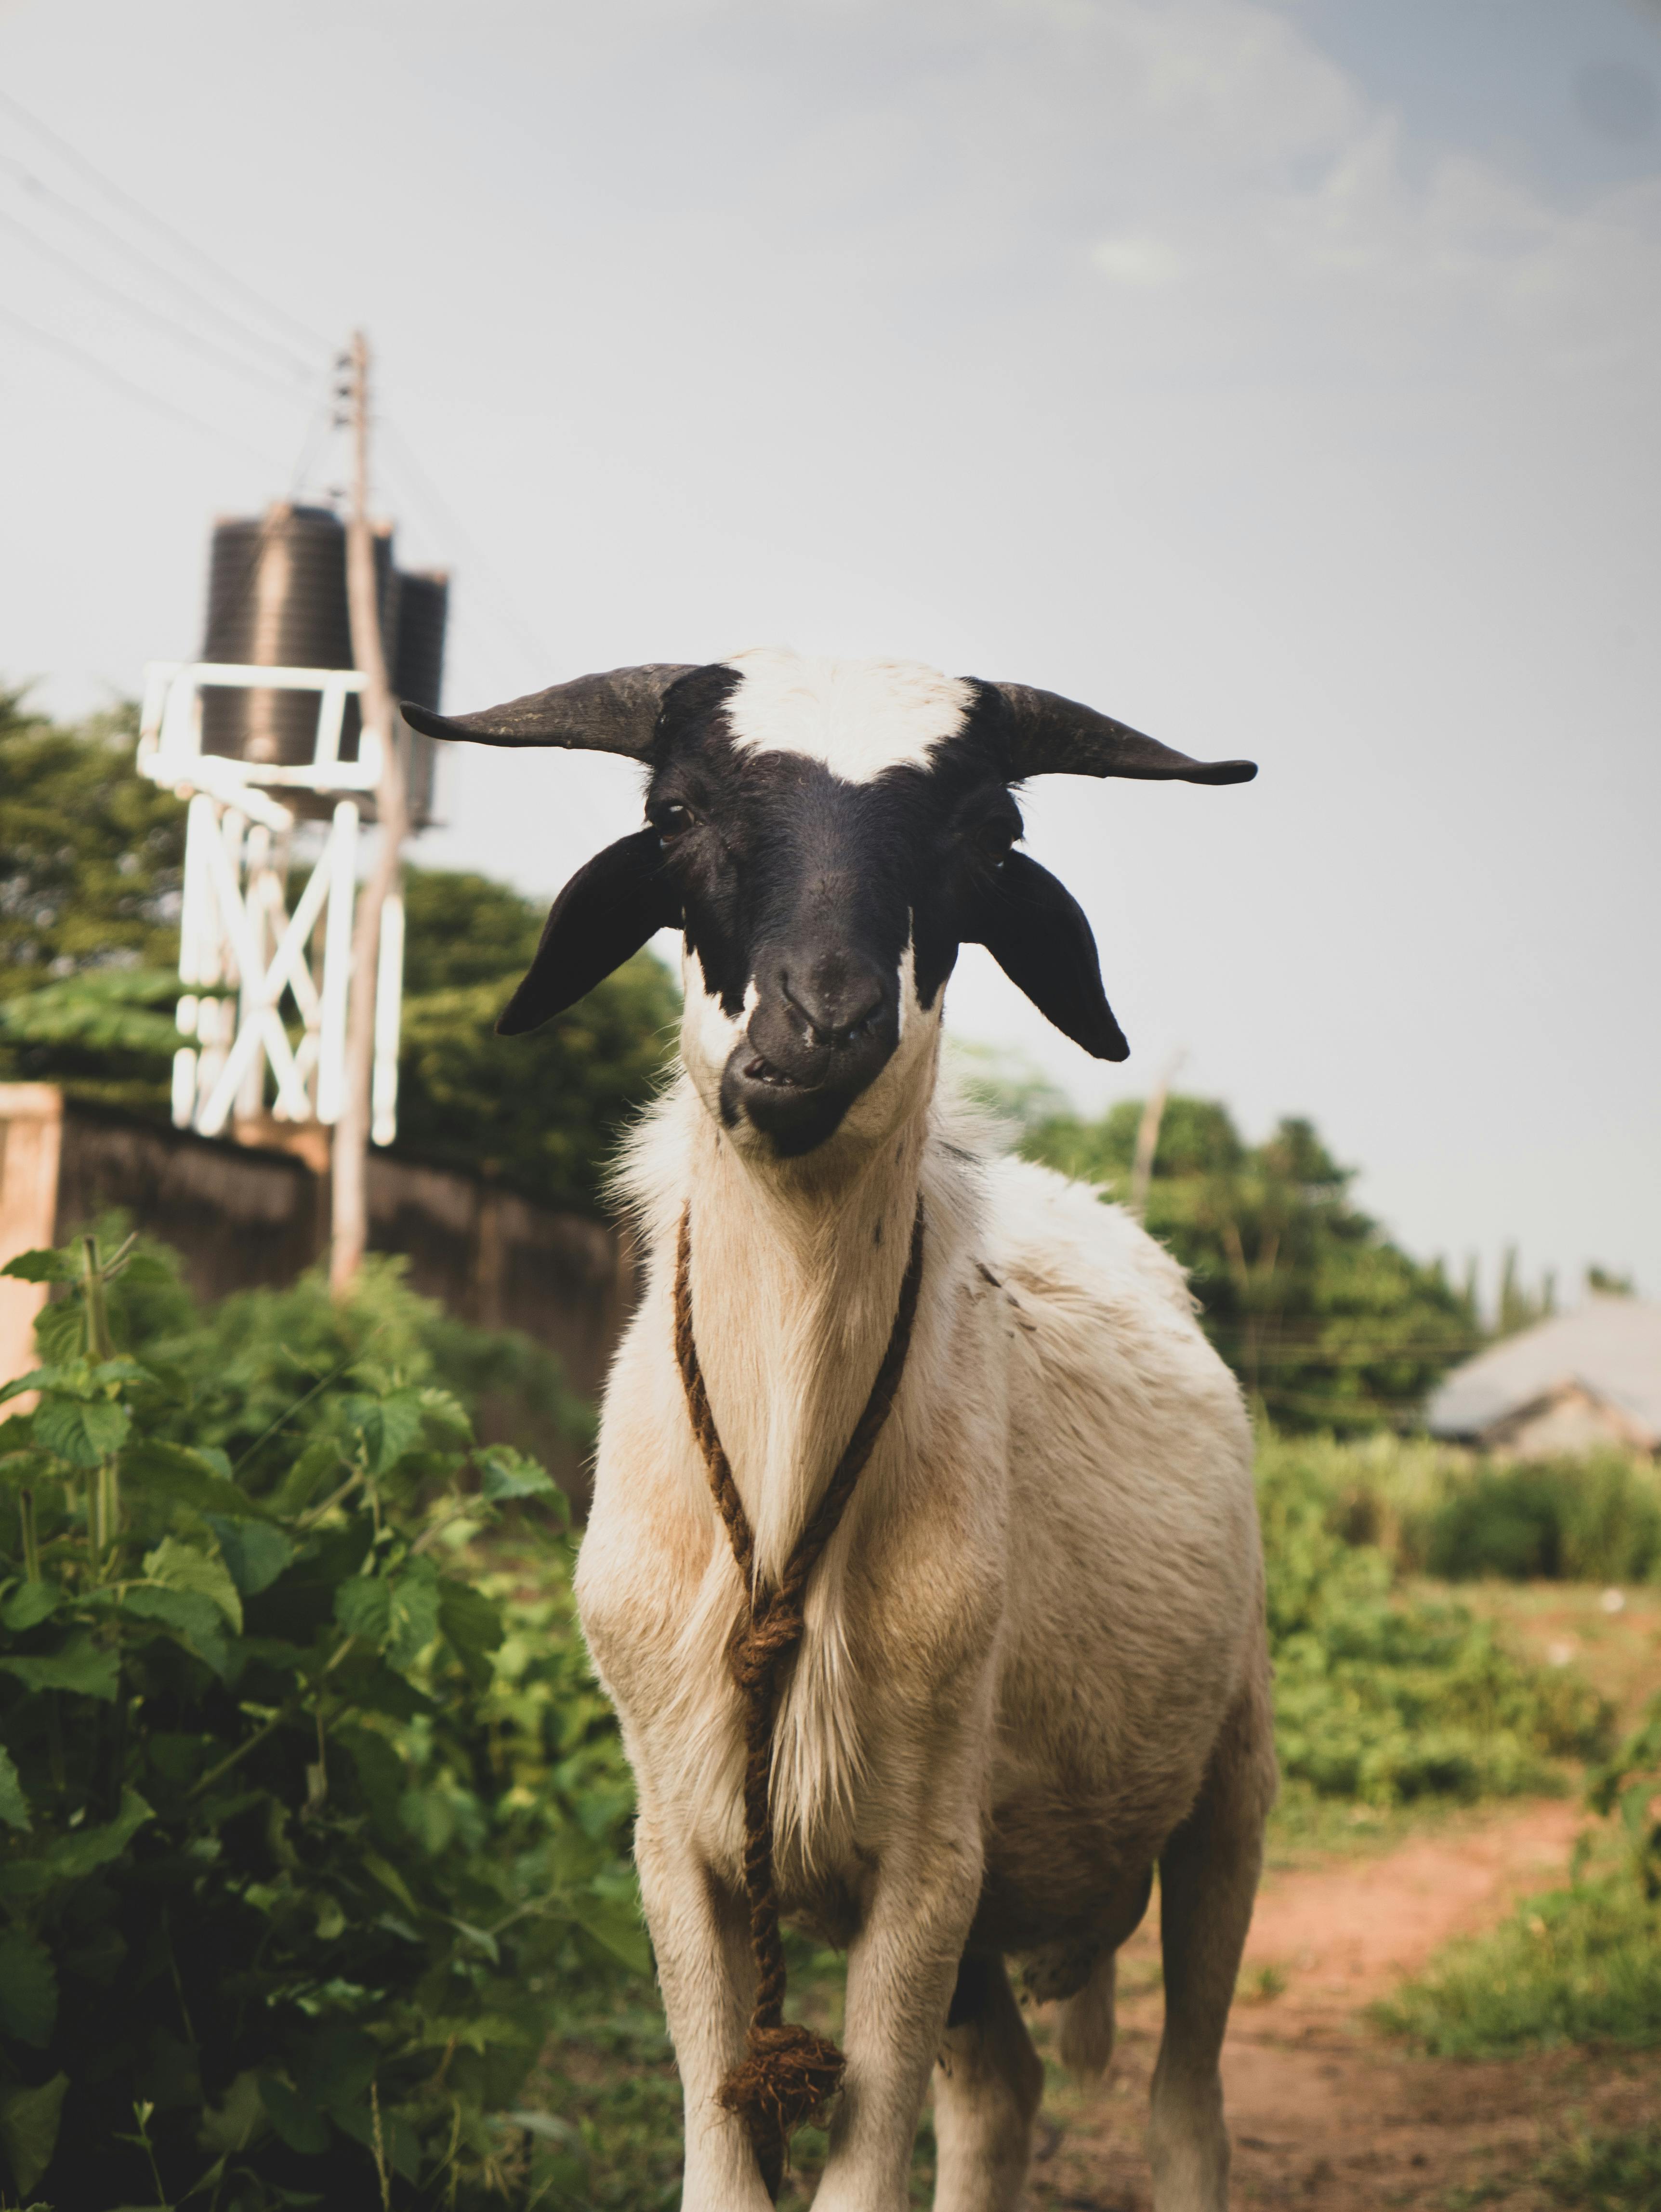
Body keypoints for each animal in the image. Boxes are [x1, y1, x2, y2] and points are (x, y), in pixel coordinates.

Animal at [406, 649, 1276, 2212]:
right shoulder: (676, 1845)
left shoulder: (927, 1862)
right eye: (675, 810)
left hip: (1226, 1788)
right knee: (1000, 2095)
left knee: (1186, 2105)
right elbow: (726, 2171)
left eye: (989, 833)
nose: (816, 1030)